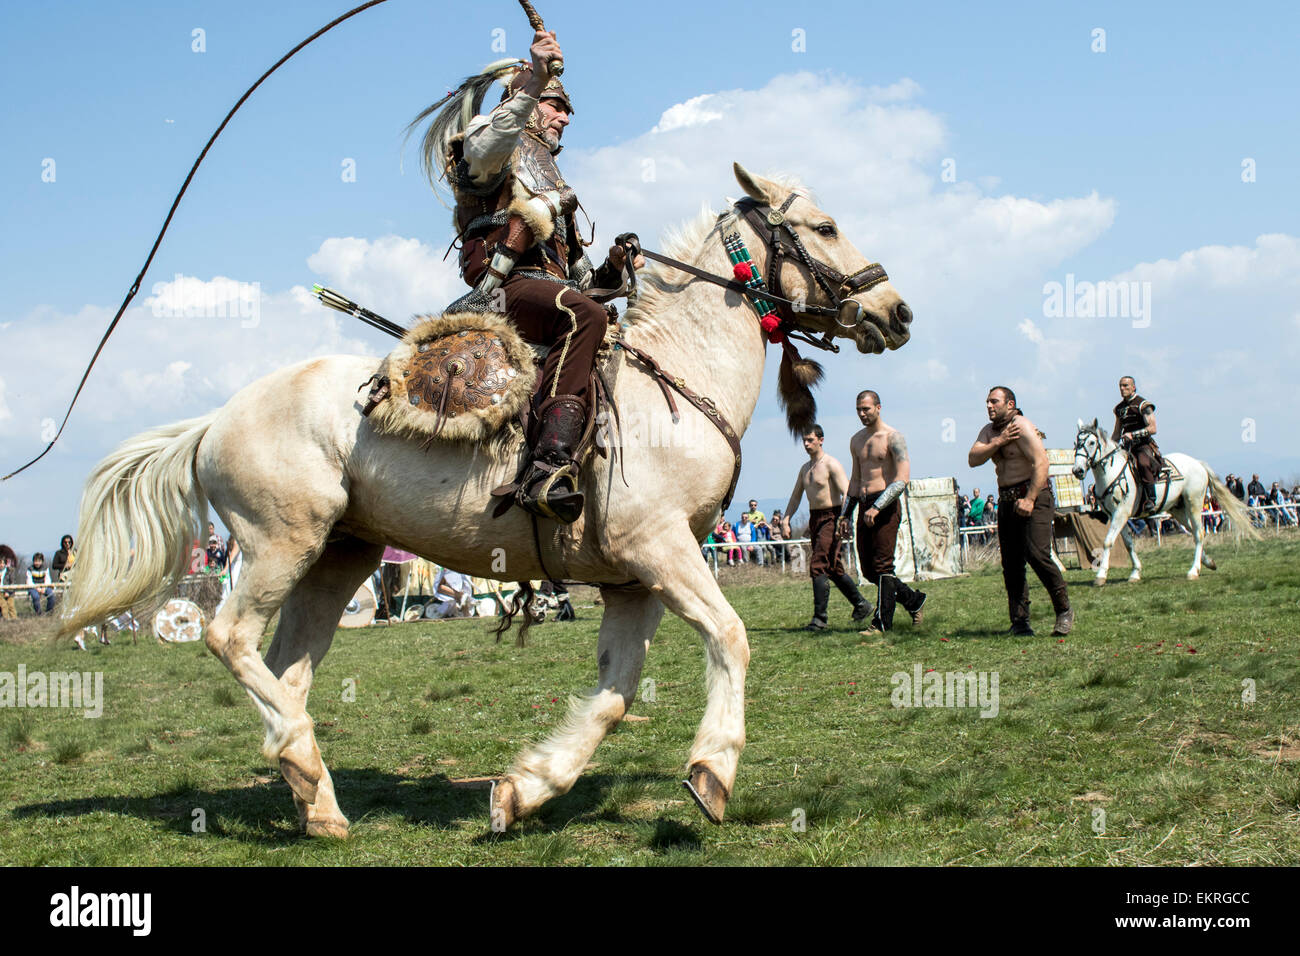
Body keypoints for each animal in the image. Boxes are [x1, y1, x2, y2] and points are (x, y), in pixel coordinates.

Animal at [61, 164, 915, 837]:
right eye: (825, 226)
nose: (896, 311)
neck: (673, 378)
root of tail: (214, 420)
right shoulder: (660, 549)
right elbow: (731, 639)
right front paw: (712, 774)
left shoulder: (632, 580)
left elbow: (614, 695)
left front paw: (525, 790)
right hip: (281, 544)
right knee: (228, 637)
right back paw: (303, 762)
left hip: (339, 557)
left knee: (286, 673)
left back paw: (315, 797)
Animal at [1071, 416, 1253, 582]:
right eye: (1076, 443)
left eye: (1091, 443)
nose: (1077, 470)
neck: (1111, 472)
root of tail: (1198, 464)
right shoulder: (1114, 515)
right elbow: (1128, 543)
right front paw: (1135, 572)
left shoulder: (1121, 513)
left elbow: (1108, 542)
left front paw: (1101, 575)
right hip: (1178, 510)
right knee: (1194, 532)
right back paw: (1208, 562)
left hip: (1193, 503)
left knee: (1199, 533)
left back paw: (1194, 570)